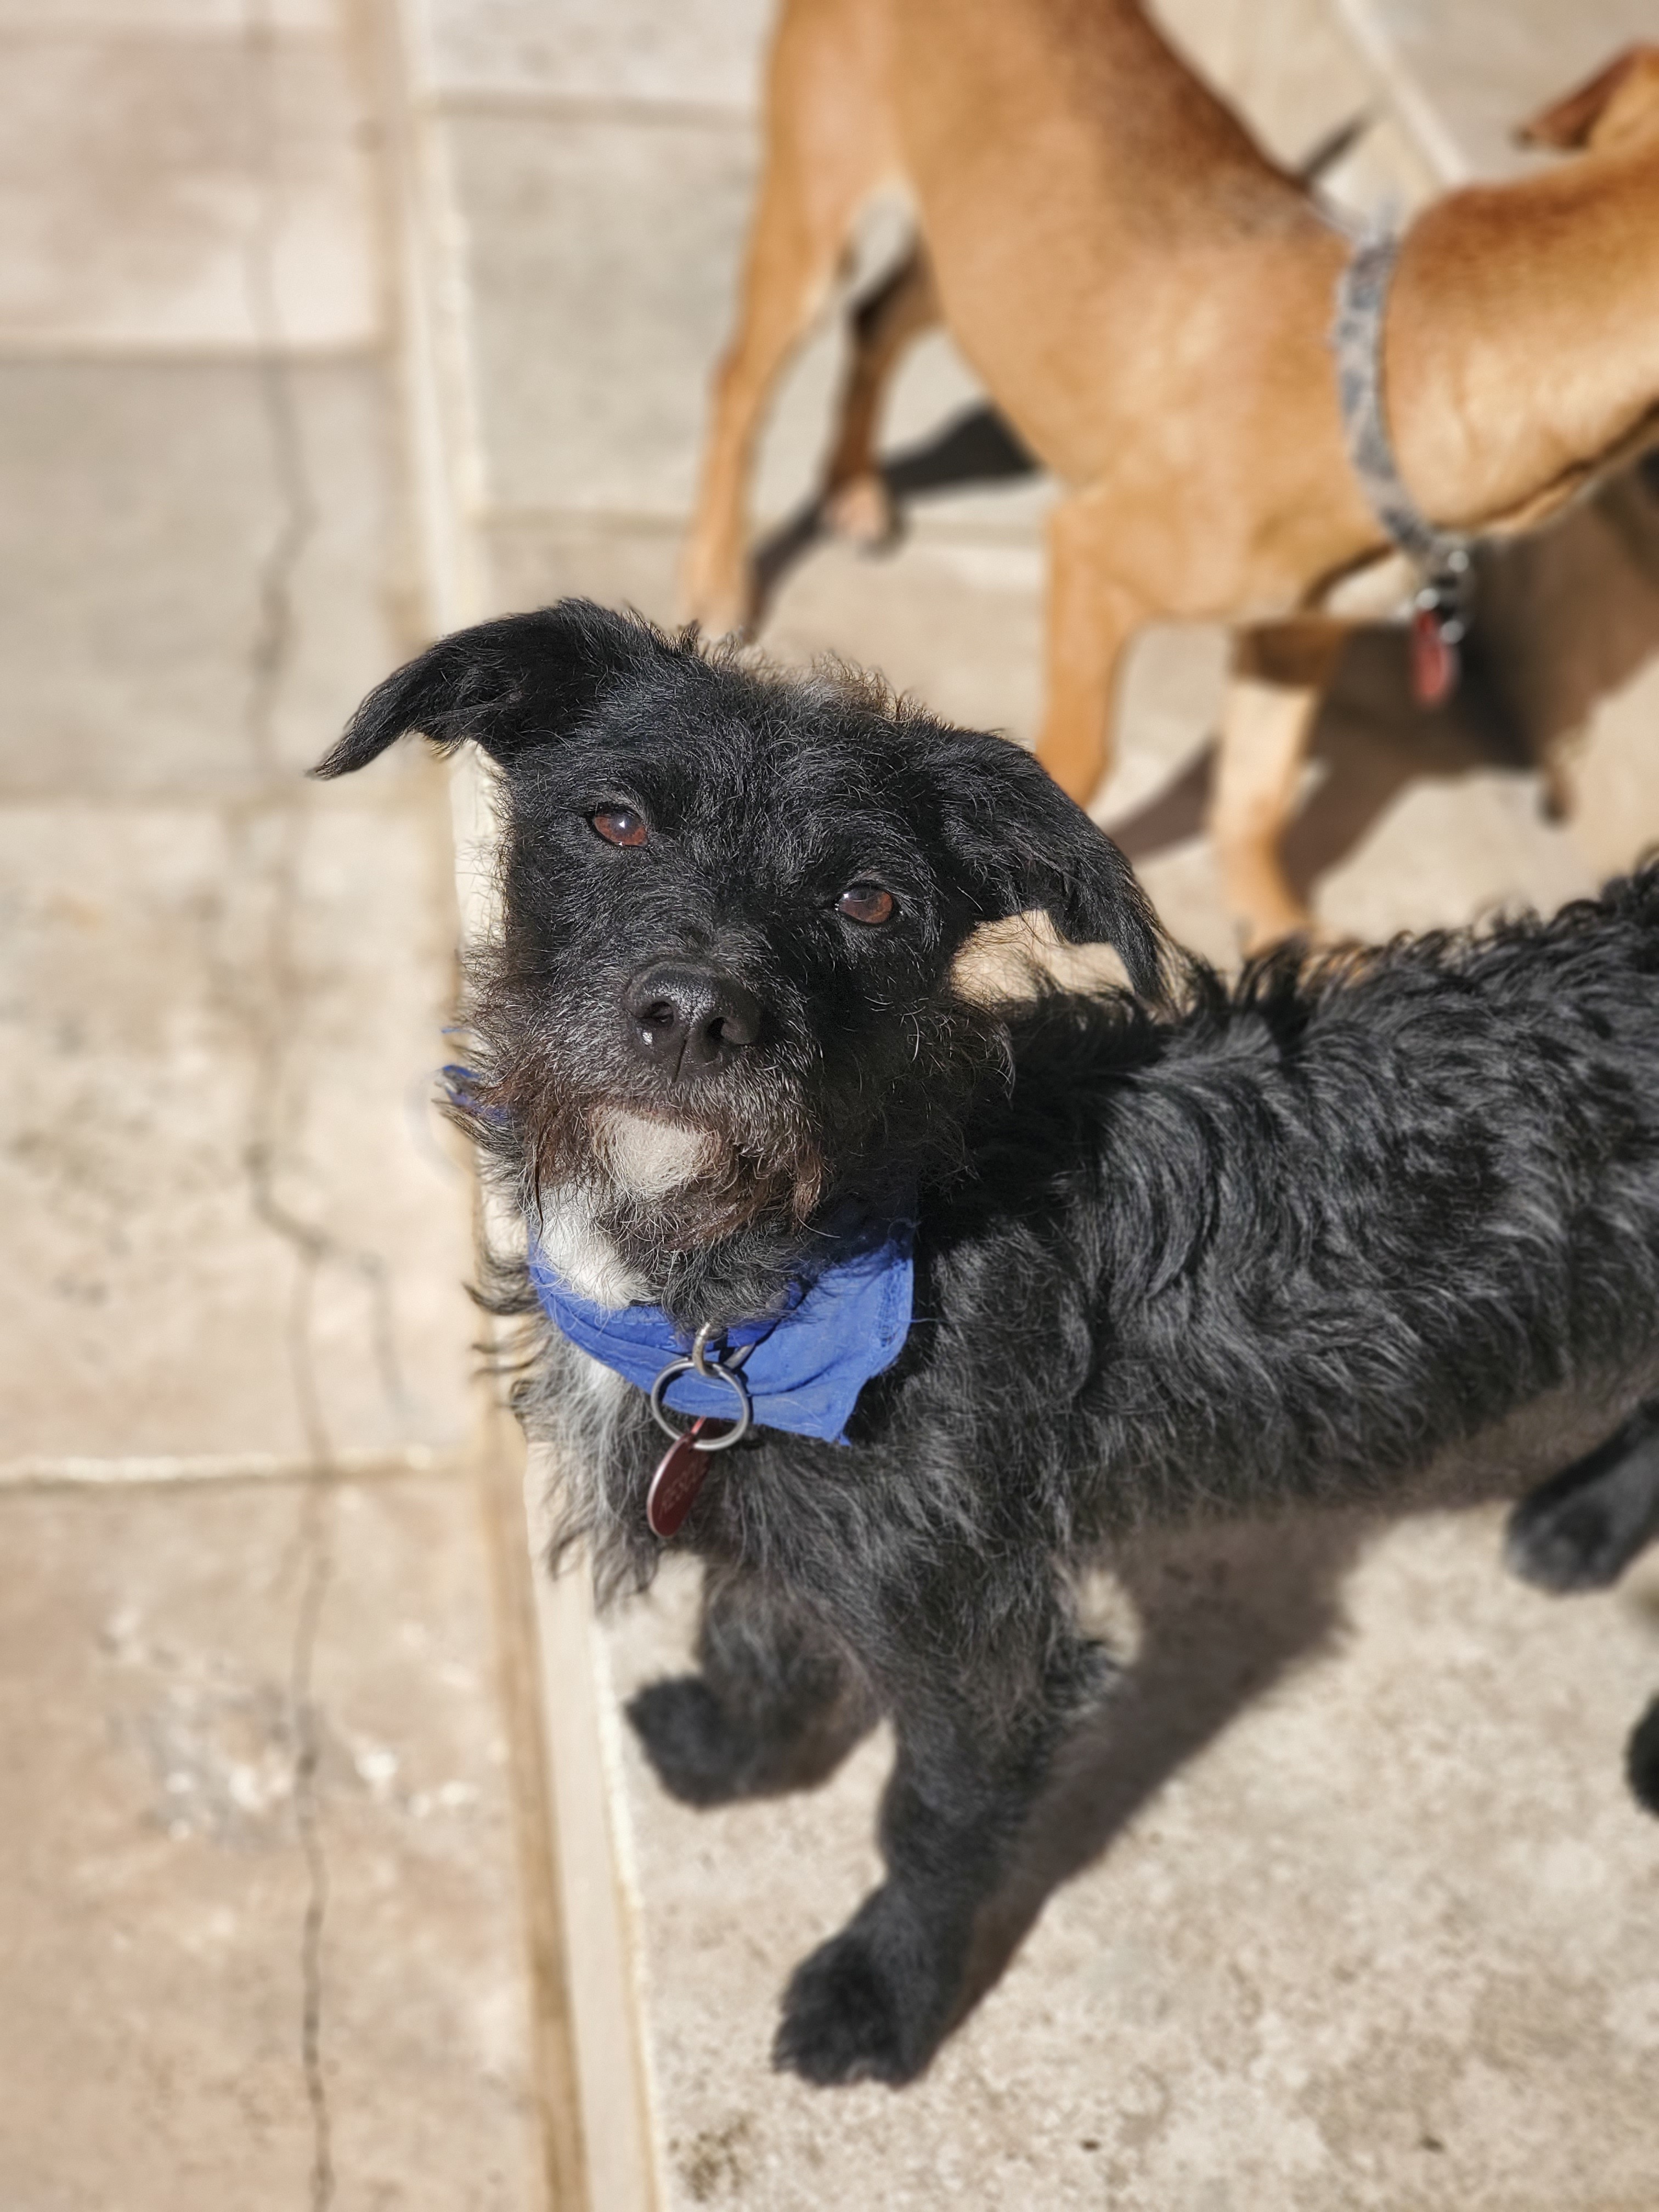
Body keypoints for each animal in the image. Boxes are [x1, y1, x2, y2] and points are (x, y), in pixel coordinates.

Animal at [314, 597, 1659, 2079]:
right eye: (614, 823)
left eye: (870, 900)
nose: (695, 1014)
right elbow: (757, 1628)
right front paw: (731, 1751)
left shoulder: (973, 1624)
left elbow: (933, 1816)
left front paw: (882, 1993)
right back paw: (1587, 1523)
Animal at [681, 15, 1659, 951]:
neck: (1374, 383)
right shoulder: (1092, 562)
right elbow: (1081, 763)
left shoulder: (1295, 639)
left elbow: (1255, 796)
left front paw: (1280, 931)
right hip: (816, 218)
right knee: (739, 386)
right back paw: (719, 572)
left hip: (970, 260)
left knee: (879, 317)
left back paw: (852, 486)